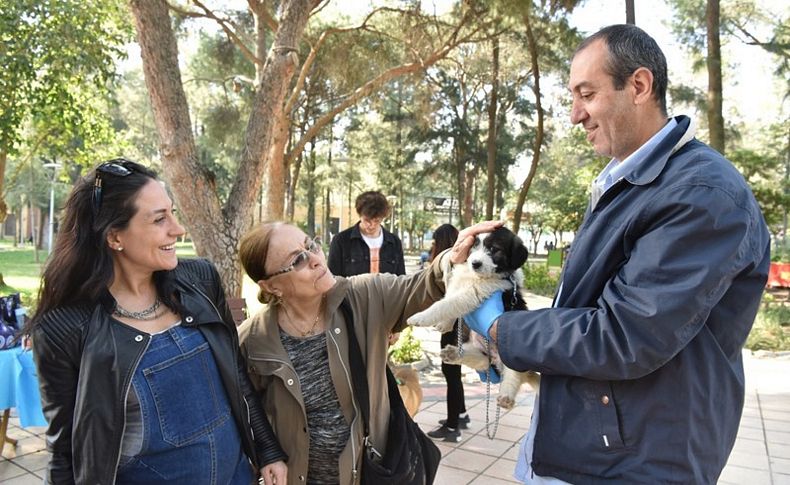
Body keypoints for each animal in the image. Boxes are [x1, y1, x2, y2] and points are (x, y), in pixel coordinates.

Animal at [412, 226, 540, 404]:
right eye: (473, 246)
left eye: (494, 249)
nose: (475, 263)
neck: (477, 277)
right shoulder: (458, 283)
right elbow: (449, 299)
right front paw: (445, 324)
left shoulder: (472, 294)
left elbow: (445, 304)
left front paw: (420, 317)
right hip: (476, 346)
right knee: (482, 362)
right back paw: (454, 354)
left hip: (513, 353)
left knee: (514, 373)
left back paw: (506, 397)